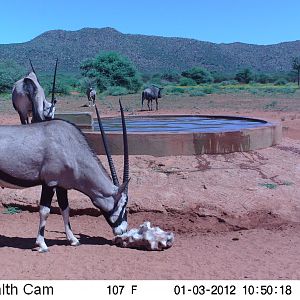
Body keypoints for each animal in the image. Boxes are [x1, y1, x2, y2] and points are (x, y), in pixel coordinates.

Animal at [0, 101, 129, 253]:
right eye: (123, 204)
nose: (123, 230)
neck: (71, 147)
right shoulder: (49, 183)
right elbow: (45, 211)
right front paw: (41, 244)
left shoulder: (62, 186)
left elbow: (65, 209)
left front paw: (73, 240)